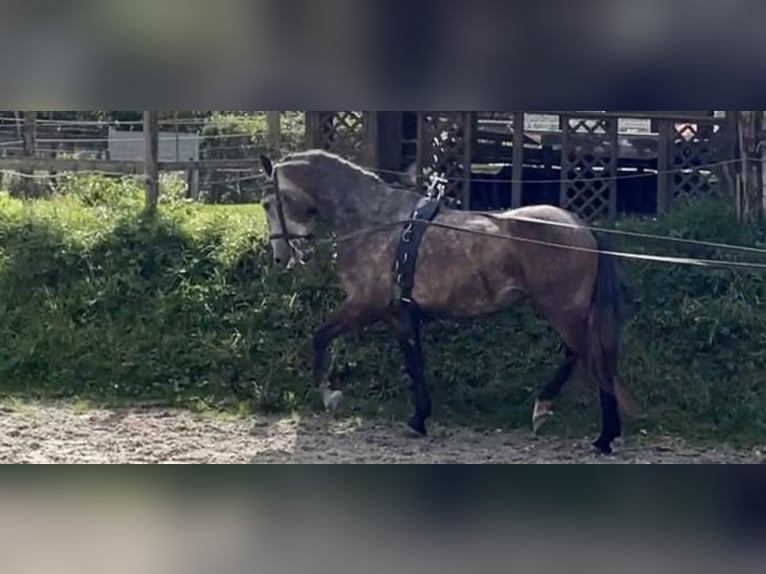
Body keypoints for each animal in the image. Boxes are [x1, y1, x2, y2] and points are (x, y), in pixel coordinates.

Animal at [258, 151, 636, 456]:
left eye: (266, 203)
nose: (280, 256)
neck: (375, 221)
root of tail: (581, 227)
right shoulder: (397, 313)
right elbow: (414, 363)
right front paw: (418, 418)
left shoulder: (365, 304)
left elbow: (320, 336)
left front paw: (328, 396)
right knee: (581, 356)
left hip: (563, 311)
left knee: (588, 358)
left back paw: (598, 435)